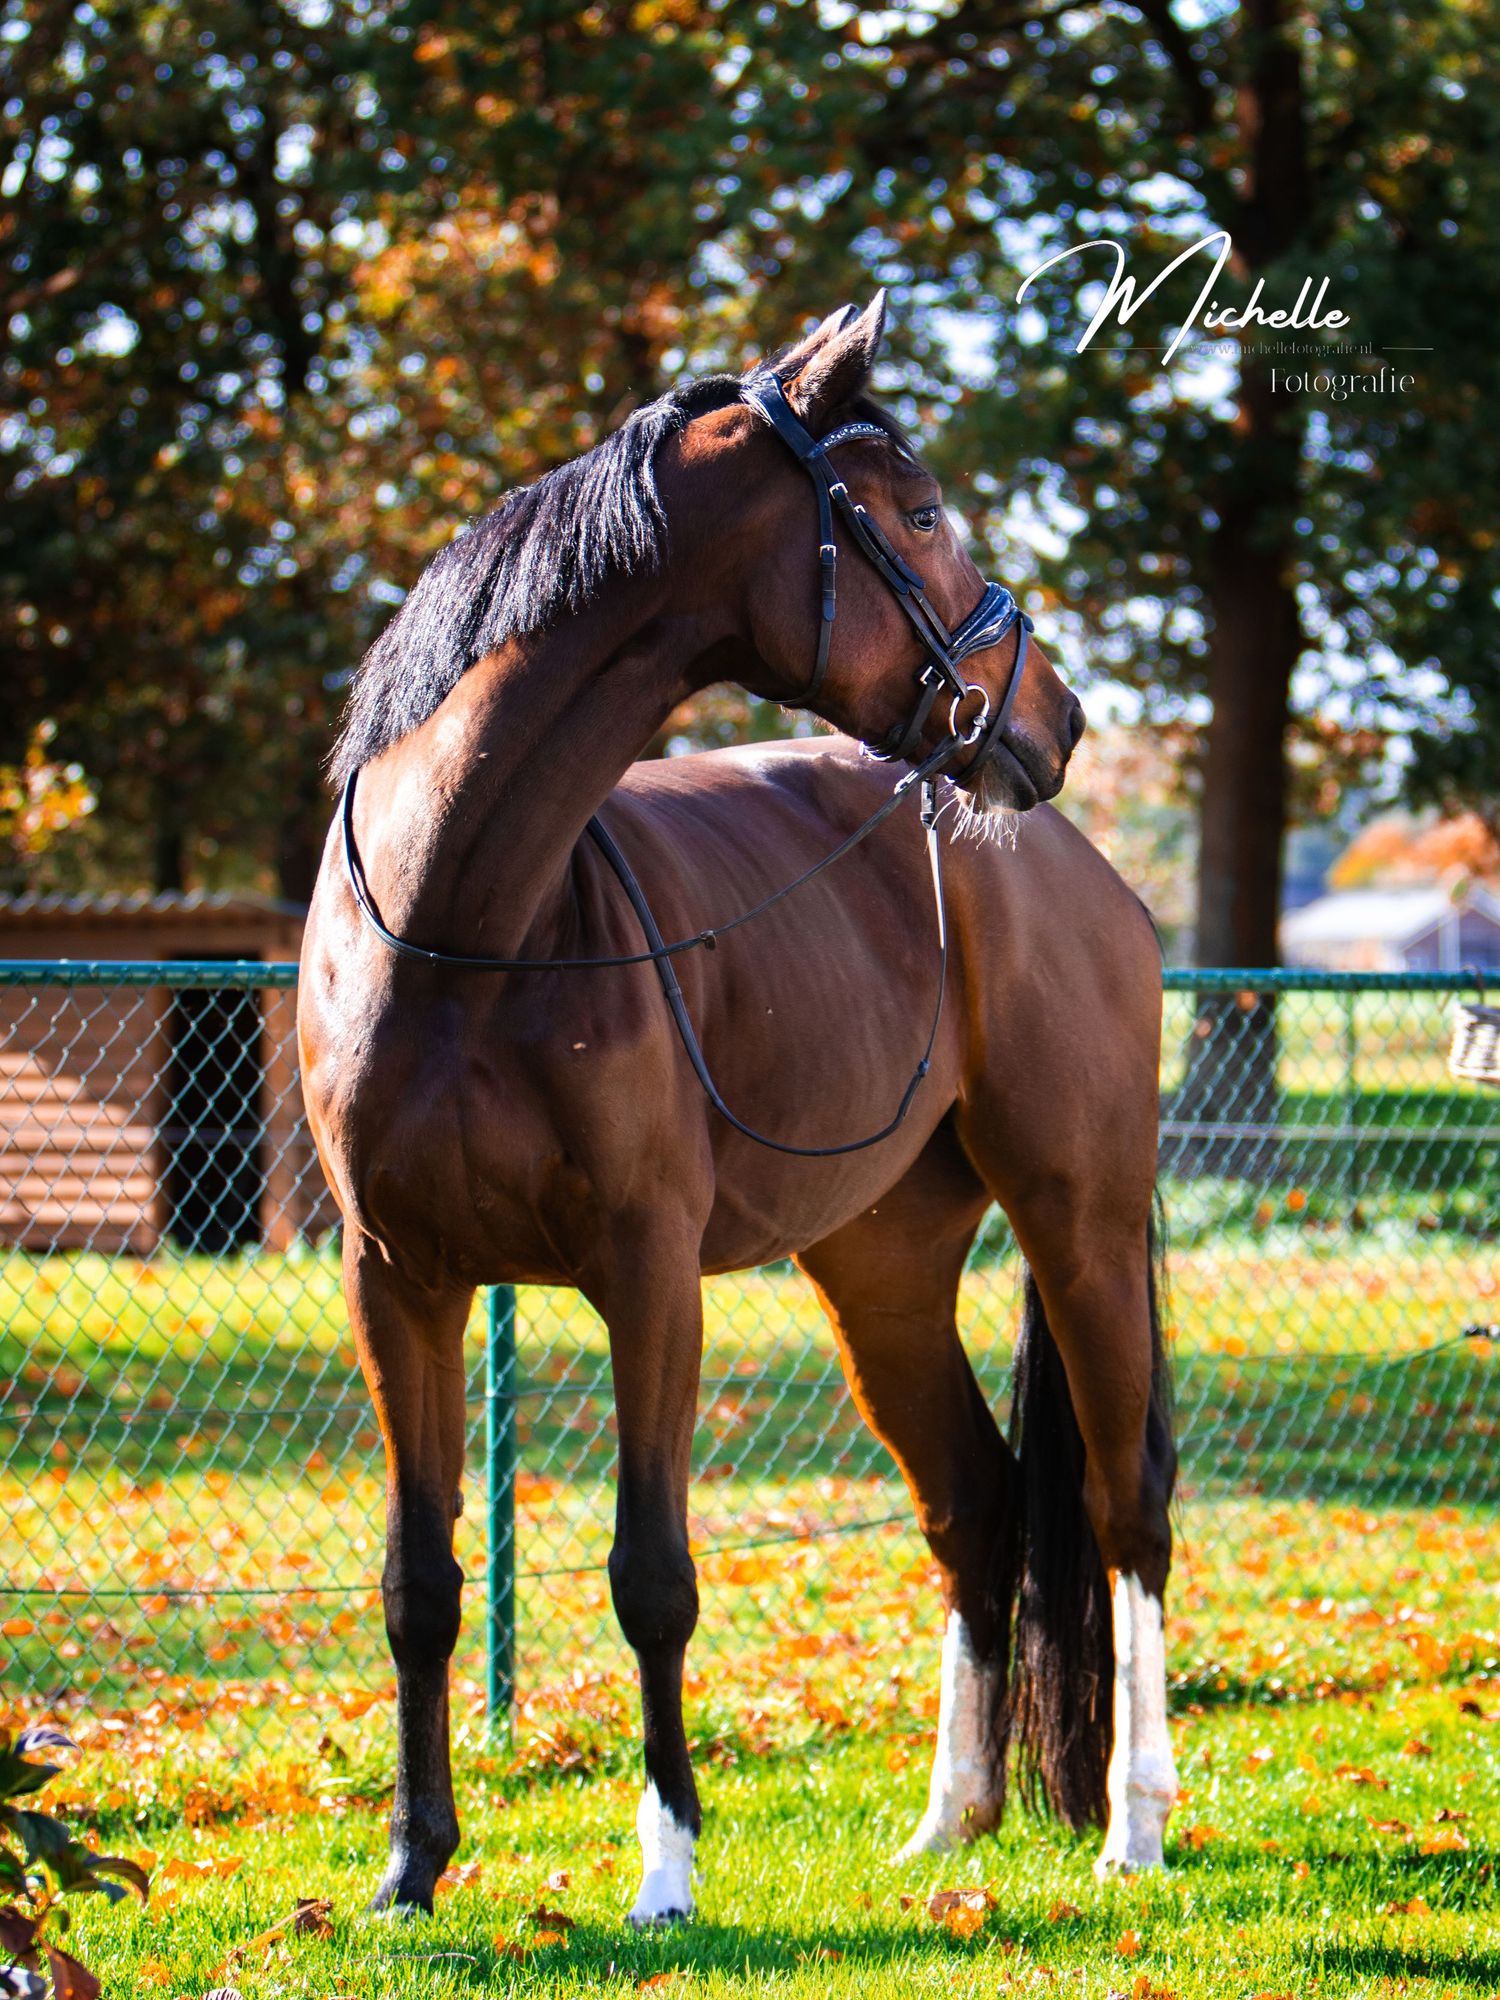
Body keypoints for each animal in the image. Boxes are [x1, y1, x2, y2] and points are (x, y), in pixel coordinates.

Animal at [296, 295, 1177, 1924]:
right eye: (920, 513)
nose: (1064, 714)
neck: (464, 931)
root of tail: (1074, 864)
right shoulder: (398, 1284)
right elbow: (419, 1583)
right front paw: (410, 1869)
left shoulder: (650, 1279)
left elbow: (652, 1573)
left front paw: (665, 1869)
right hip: (879, 1267)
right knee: (974, 1501)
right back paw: (949, 1821)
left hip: (1080, 1224)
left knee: (1119, 1500)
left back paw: (1135, 1825)